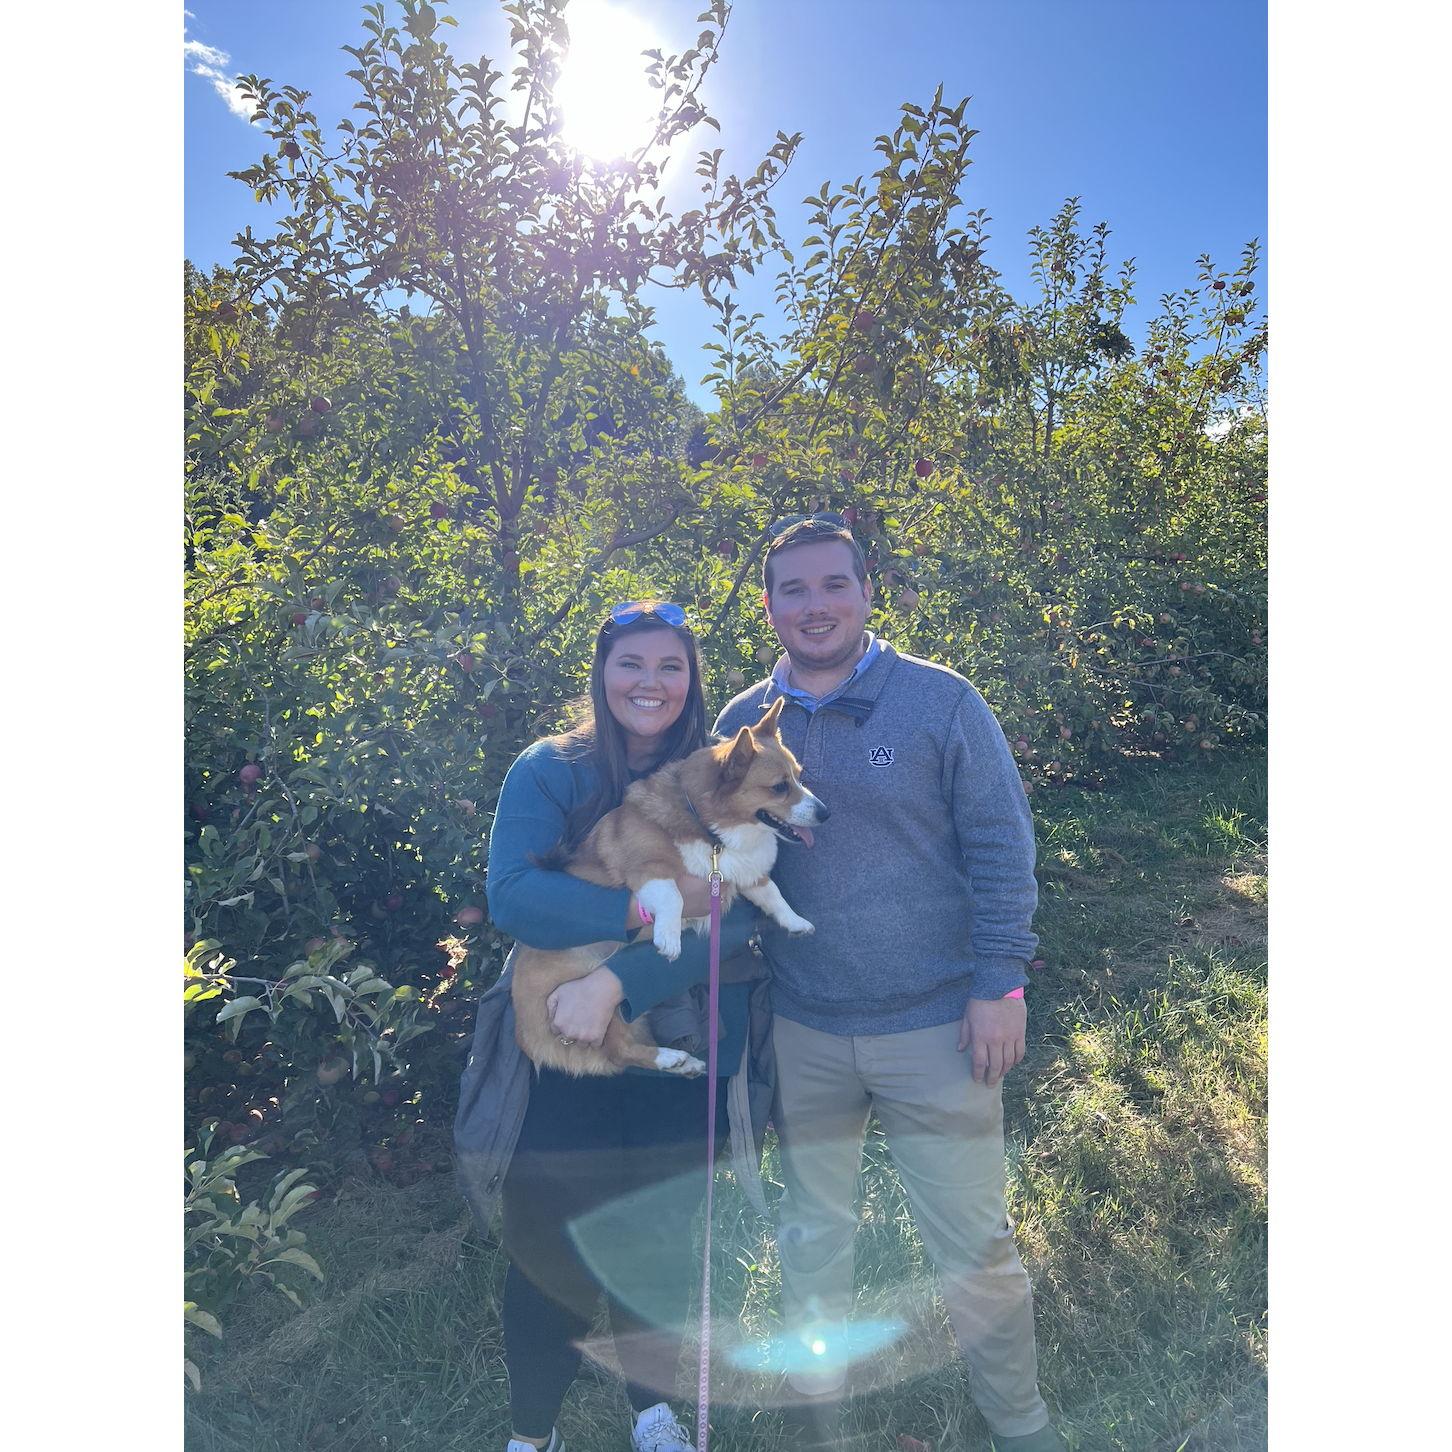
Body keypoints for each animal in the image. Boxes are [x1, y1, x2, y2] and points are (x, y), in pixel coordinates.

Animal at [511, 696, 830, 1086]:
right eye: (779, 787)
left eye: (799, 776)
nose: (826, 813)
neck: (710, 829)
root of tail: (524, 1033)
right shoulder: (647, 869)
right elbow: (672, 895)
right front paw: (669, 937)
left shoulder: (744, 874)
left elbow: (773, 895)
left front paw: (796, 922)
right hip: (590, 990)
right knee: (618, 1051)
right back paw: (670, 1057)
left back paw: (684, 1063)